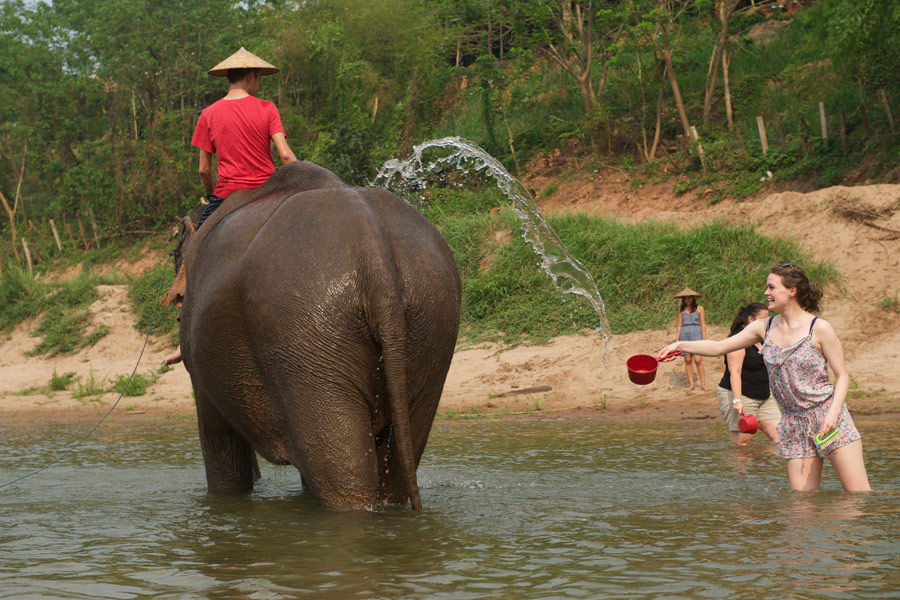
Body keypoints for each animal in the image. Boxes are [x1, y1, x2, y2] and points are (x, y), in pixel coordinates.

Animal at [165, 161, 461, 511]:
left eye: (174, 256)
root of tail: (373, 252)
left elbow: (219, 440)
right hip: (430, 315)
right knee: (399, 460)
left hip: (304, 334)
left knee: (343, 474)